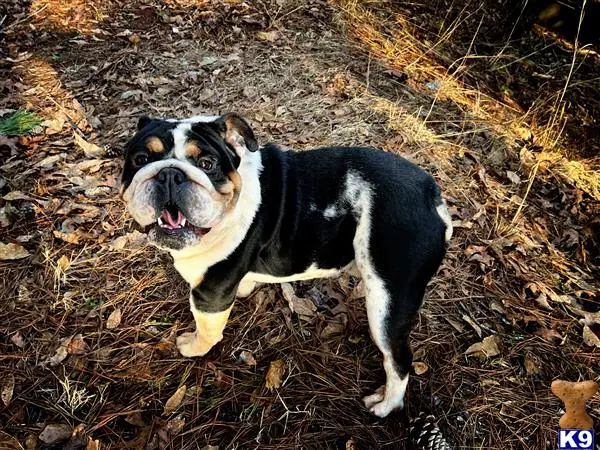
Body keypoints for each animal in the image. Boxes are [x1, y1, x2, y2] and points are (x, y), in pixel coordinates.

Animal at [120, 113, 450, 418]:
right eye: (139, 159)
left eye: (206, 163)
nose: (169, 174)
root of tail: (432, 196)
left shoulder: (210, 294)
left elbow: (207, 331)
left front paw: (192, 346)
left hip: (386, 301)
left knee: (398, 358)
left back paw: (386, 404)